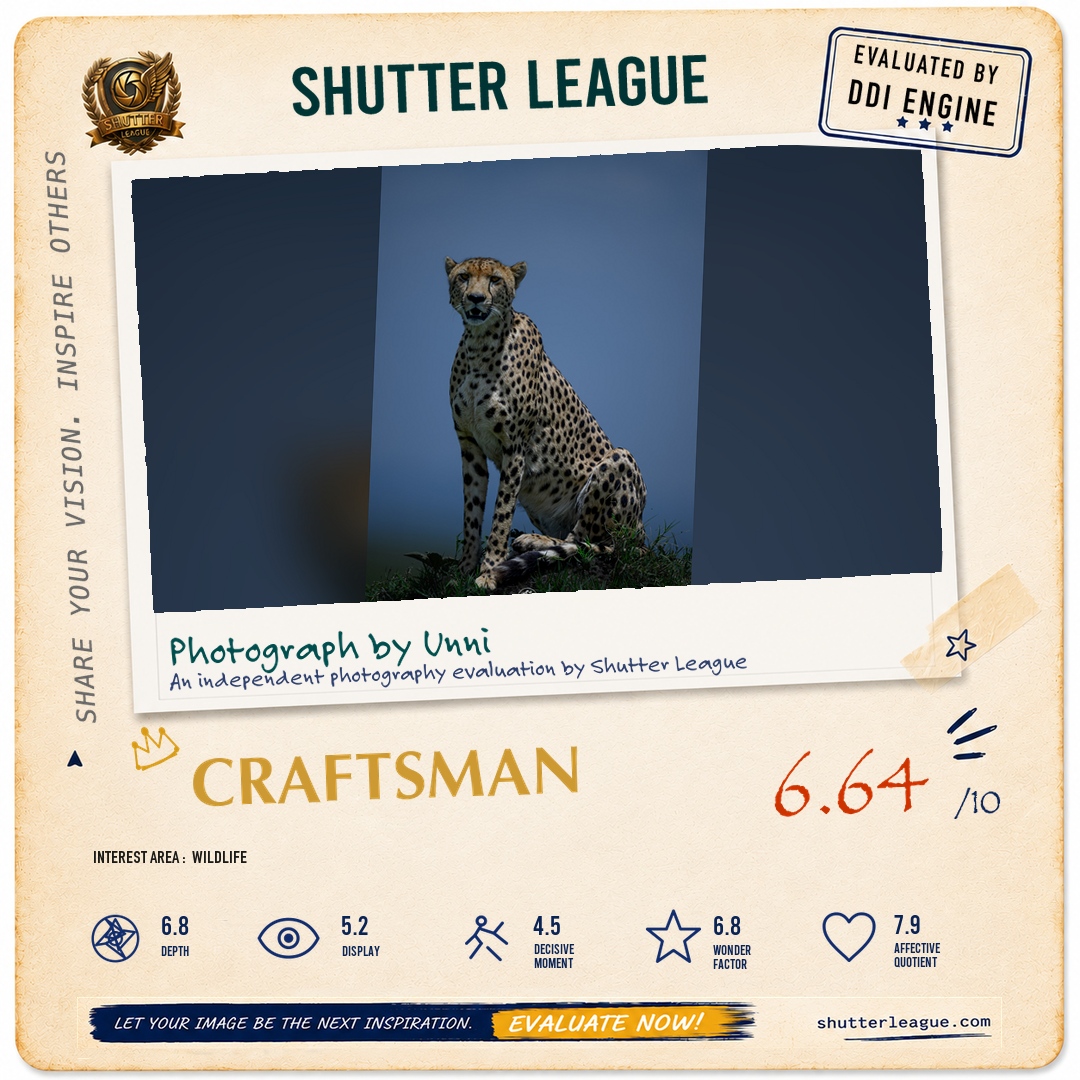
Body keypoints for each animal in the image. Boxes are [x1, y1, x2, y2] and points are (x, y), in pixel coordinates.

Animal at [446, 255, 646, 591]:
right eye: (463, 277)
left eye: (495, 279)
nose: (475, 298)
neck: (481, 342)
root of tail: (642, 531)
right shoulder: (469, 445)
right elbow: (471, 513)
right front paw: (463, 569)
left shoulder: (515, 448)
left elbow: (501, 513)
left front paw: (489, 570)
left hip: (620, 461)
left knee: (584, 541)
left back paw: (531, 541)